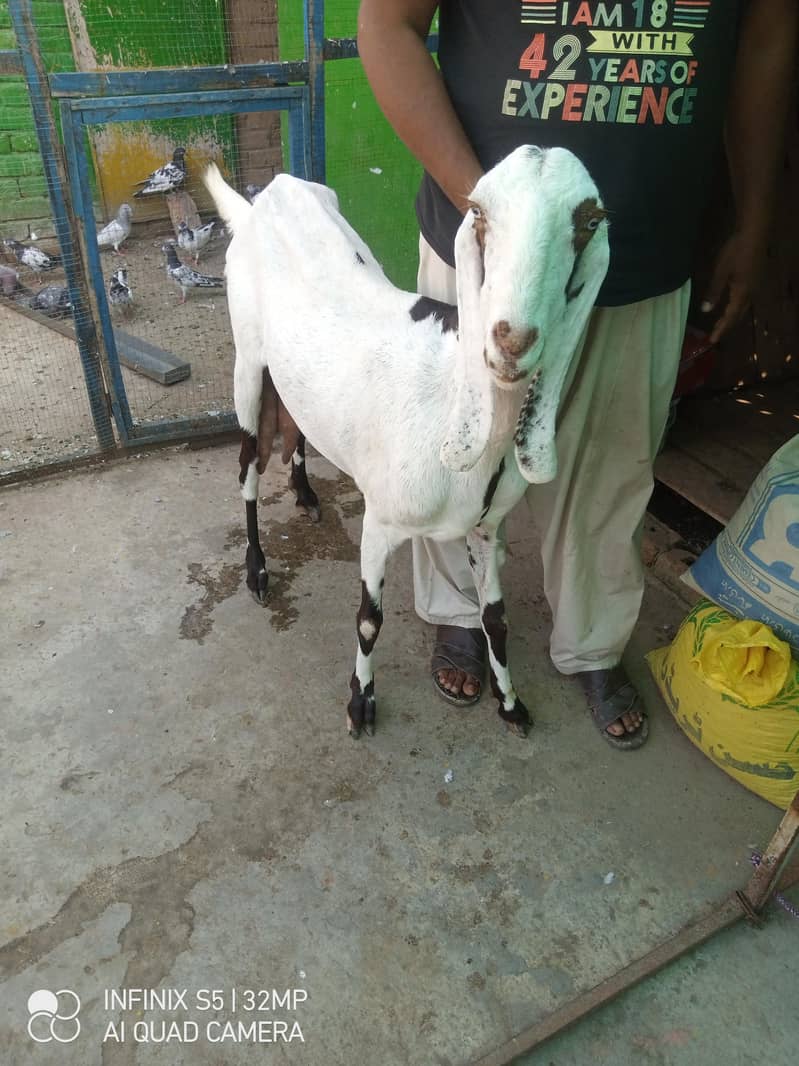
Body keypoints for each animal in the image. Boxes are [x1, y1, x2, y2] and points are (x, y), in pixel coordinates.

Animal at [204, 146, 609, 739]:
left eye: (589, 222)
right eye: (478, 212)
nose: (512, 340)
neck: (453, 395)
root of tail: (264, 200)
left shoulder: (486, 527)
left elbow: (496, 619)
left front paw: (511, 703)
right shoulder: (380, 522)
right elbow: (369, 620)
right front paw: (360, 703)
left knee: (296, 427)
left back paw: (305, 492)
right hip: (248, 363)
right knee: (247, 467)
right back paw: (256, 570)